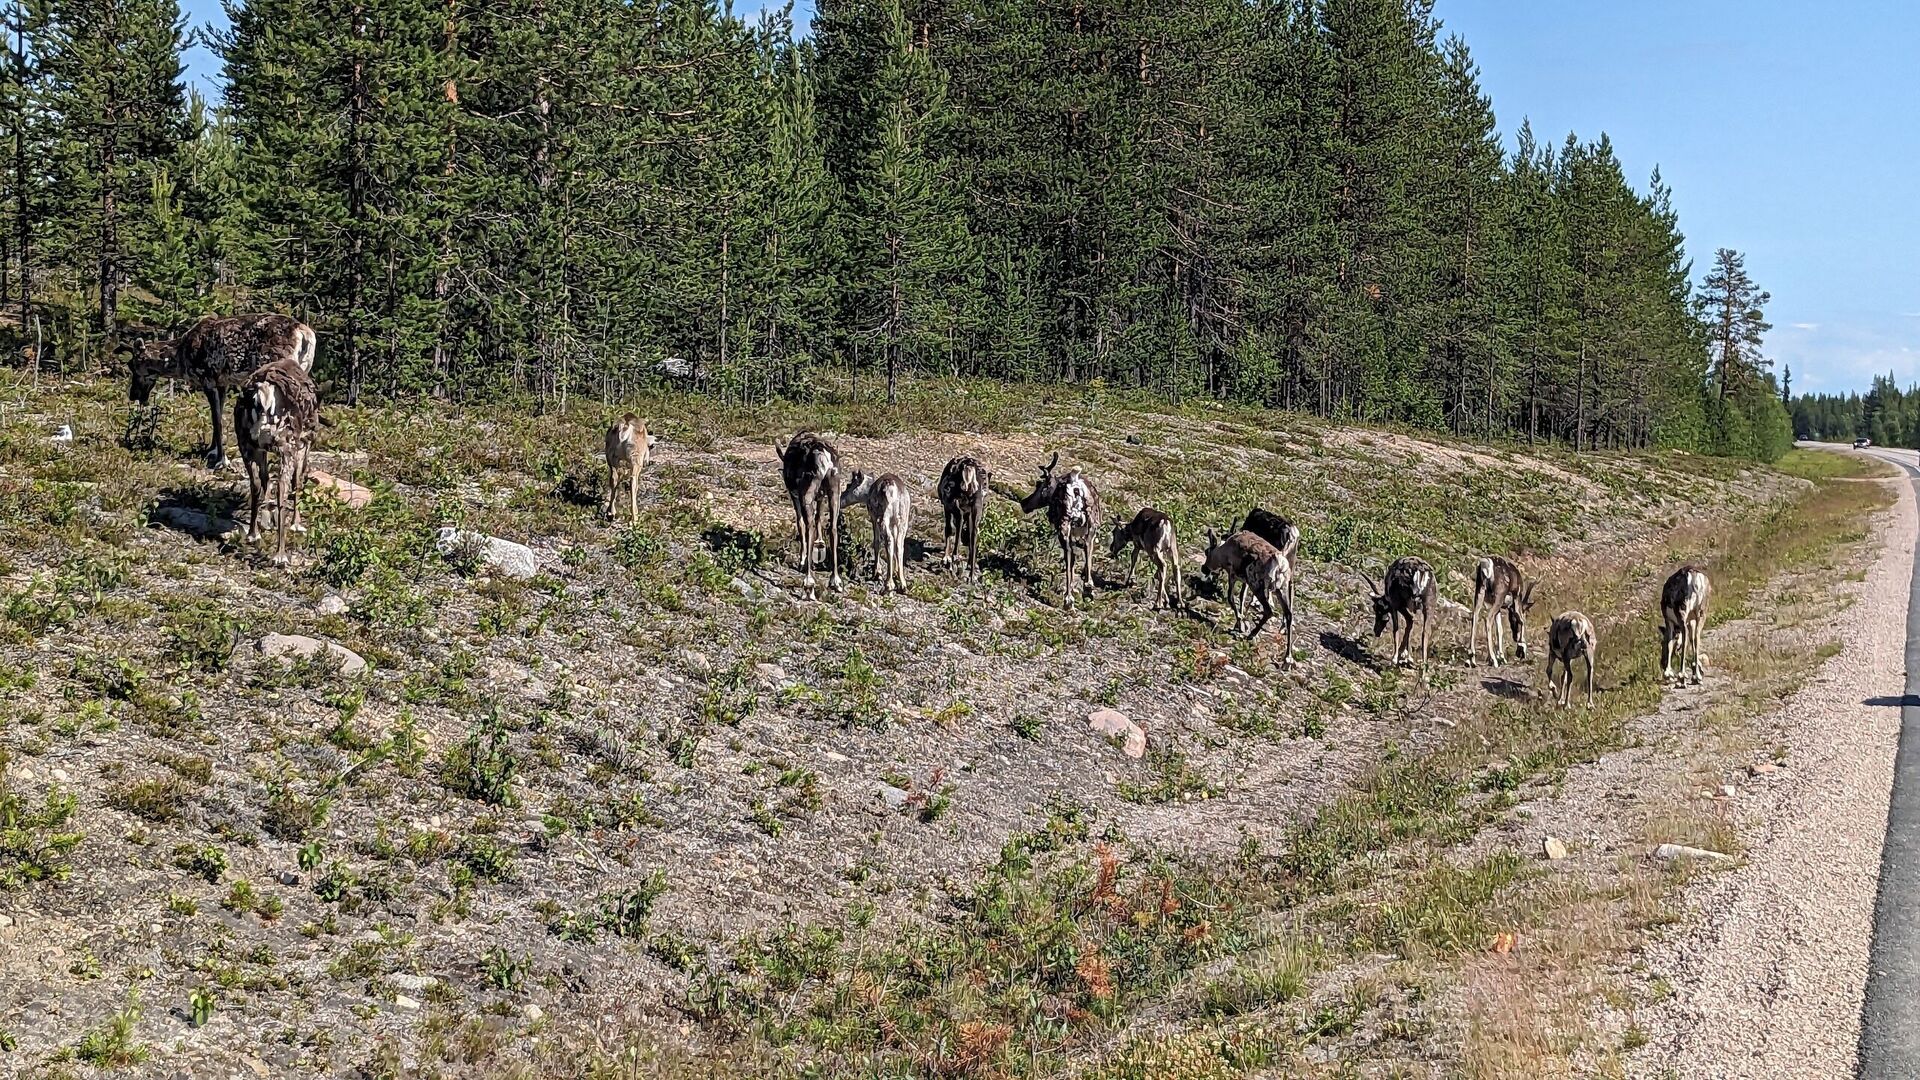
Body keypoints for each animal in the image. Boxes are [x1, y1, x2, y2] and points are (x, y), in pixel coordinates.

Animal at [234, 357, 320, 568]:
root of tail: (264, 397)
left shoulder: (263, 450)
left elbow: (265, 481)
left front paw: (265, 522)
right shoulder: (303, 445)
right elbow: (298, 483)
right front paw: (297, 524)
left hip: (246, 442)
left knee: (256, 483)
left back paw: (253, 534)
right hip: (285, 445)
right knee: (283, 488)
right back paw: (280, 555)